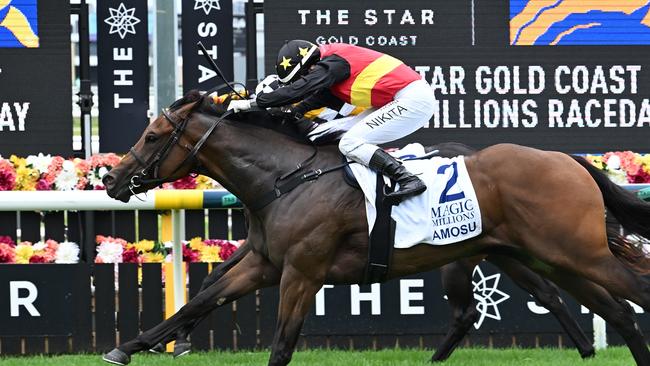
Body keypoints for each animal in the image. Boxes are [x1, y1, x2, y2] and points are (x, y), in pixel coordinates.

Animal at [98, 91, 648, 364]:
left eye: (152, 136)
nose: (111, 178)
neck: (285, 178)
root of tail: (567, 159)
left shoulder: (302, 272)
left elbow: (281, 345)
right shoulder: (264, 265)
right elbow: (199, 301)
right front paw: (127, 347)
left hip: (573, 253)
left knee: (629, 294)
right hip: (549, 256)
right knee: (615, 310)